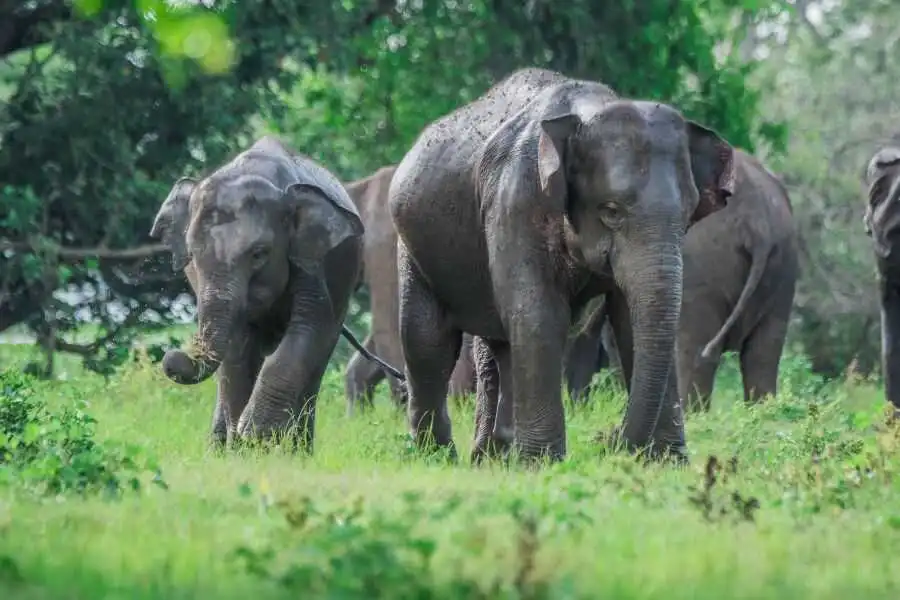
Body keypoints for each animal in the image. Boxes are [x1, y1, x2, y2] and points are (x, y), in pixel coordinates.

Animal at [149, 136, 403, 450]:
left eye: (259, 254)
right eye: (193, 256)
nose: (172, 355)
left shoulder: (311, 258)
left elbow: (310, 326)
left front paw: (258, 435)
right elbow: (237, 349)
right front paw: (244, 446)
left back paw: (298, 449)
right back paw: (222, 447)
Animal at [388, 68, 737, 464]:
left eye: (687, 214)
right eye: (611, 210)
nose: (610, 441)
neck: (587, 110)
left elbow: (629, 321)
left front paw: (667, 463)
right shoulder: (516, 200)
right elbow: (539, 314)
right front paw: (542, 463)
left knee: (496, 345)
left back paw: (492, 457)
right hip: (412, 246)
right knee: (427, 340)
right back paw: (438, 456)